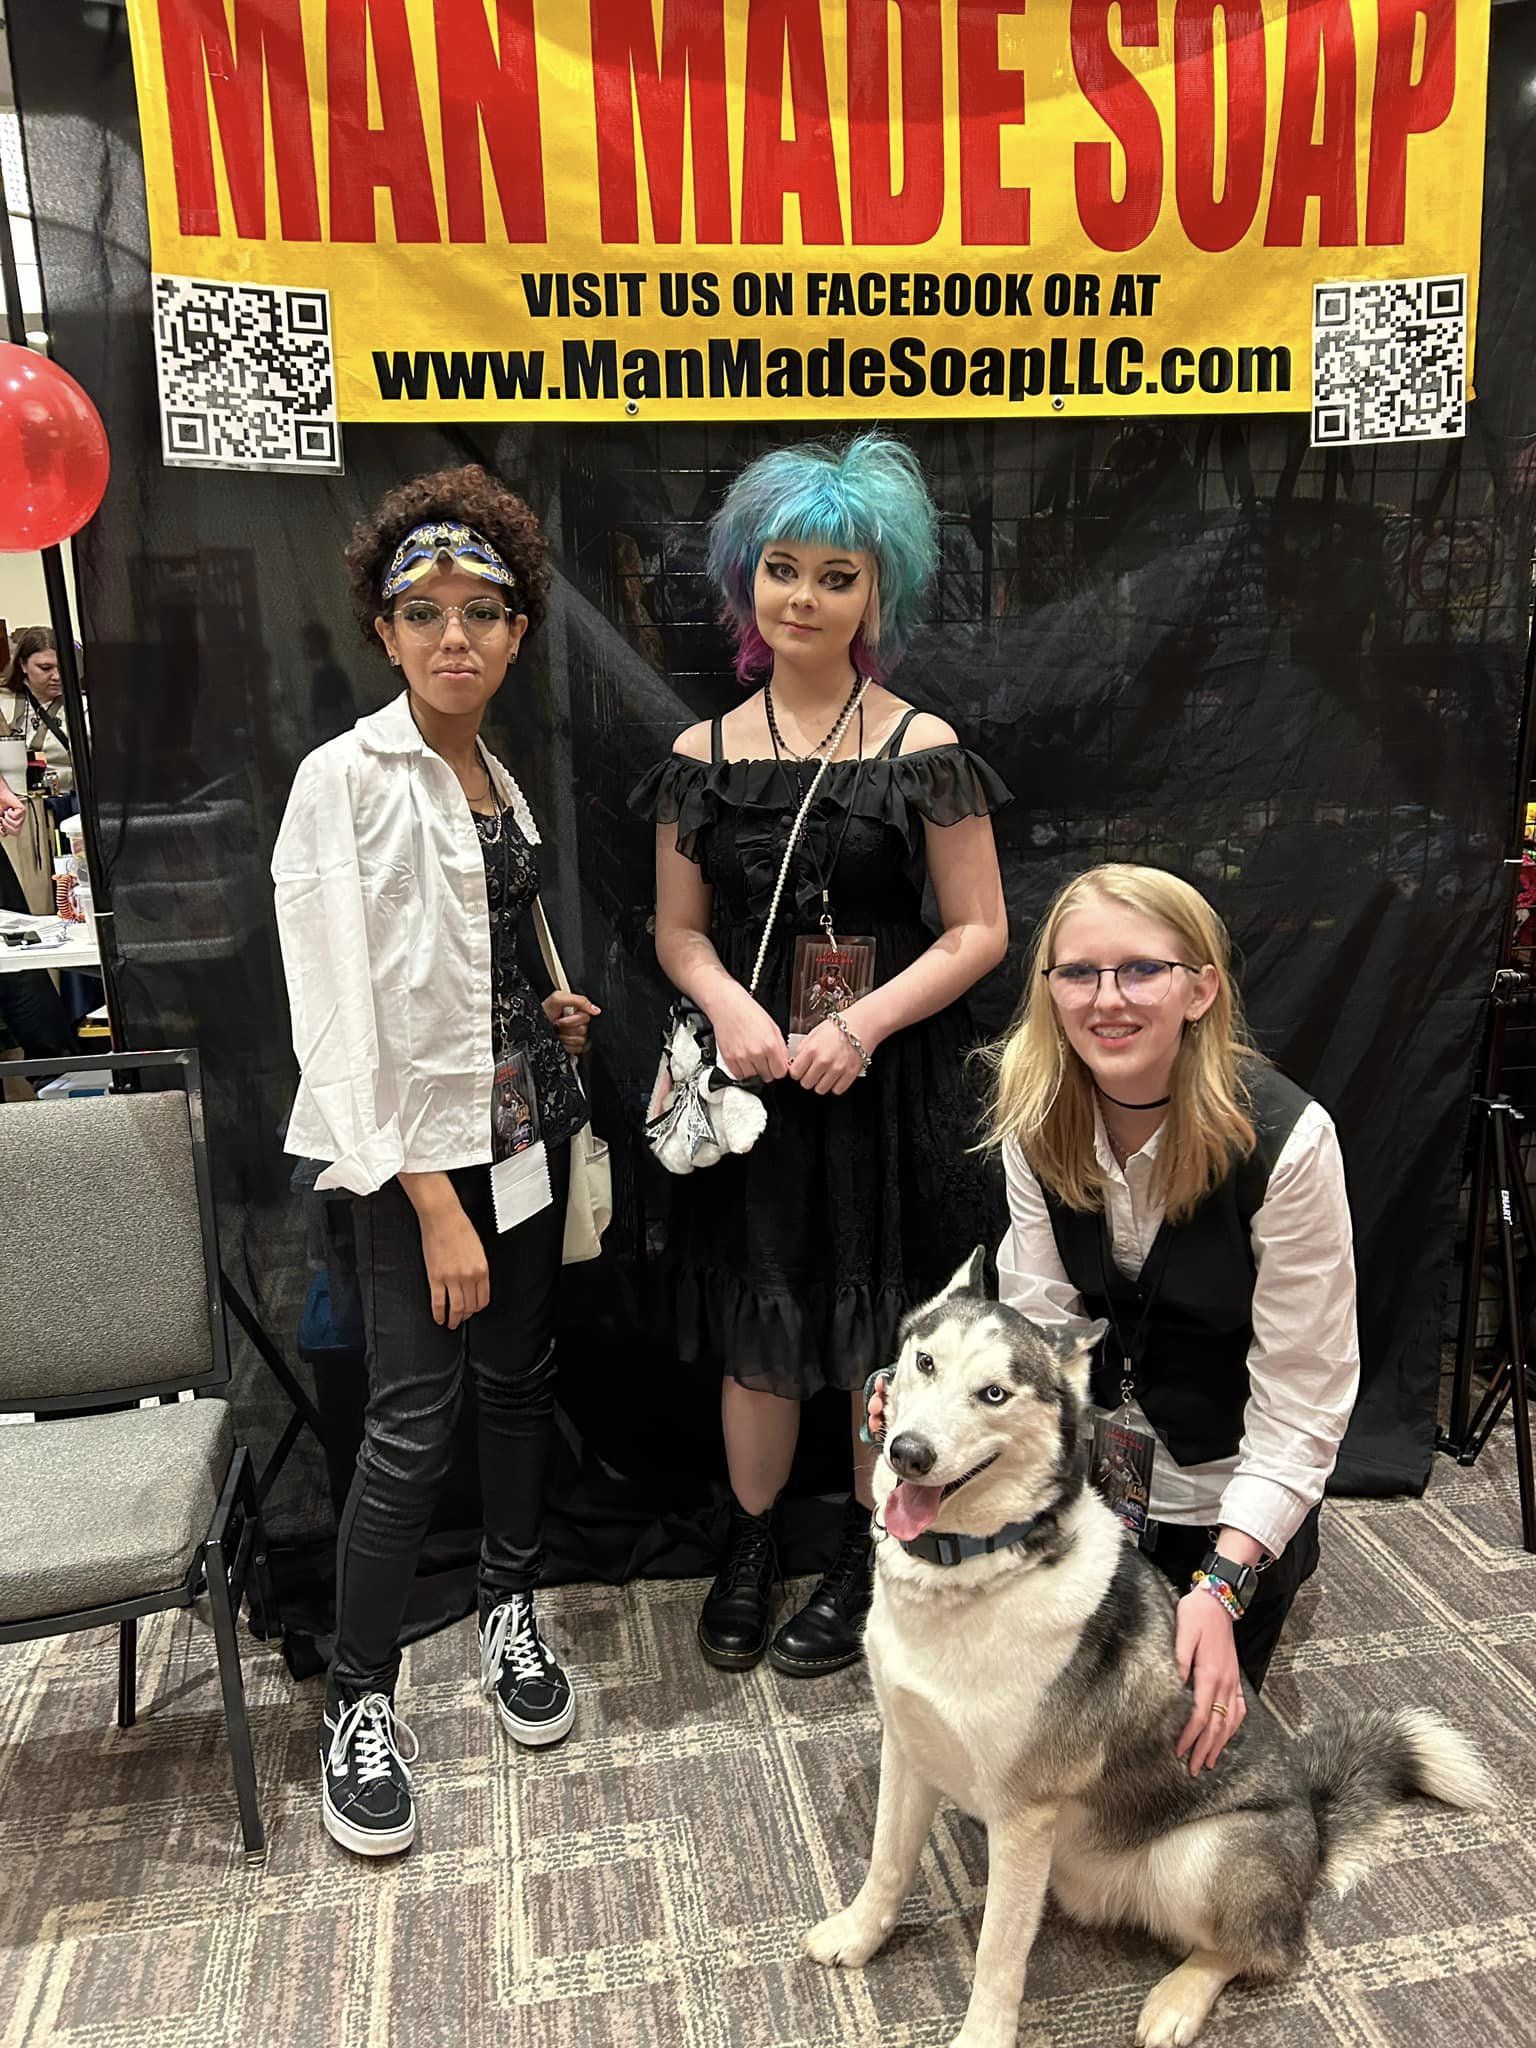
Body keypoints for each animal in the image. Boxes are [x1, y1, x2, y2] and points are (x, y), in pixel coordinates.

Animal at [805, 1250, 1491, 2048]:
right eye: (924, 1362)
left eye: (994, 1394)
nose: (906, 1453)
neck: (972, 1567)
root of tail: (1315, 1832)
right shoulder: (909, 1749)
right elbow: (887, 1864)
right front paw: (858, 1936)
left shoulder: (1024, 1817)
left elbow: (997, 1953)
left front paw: (982, 2034)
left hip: (1199, 1858)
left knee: (1262, 1950)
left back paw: (1179, 1999)